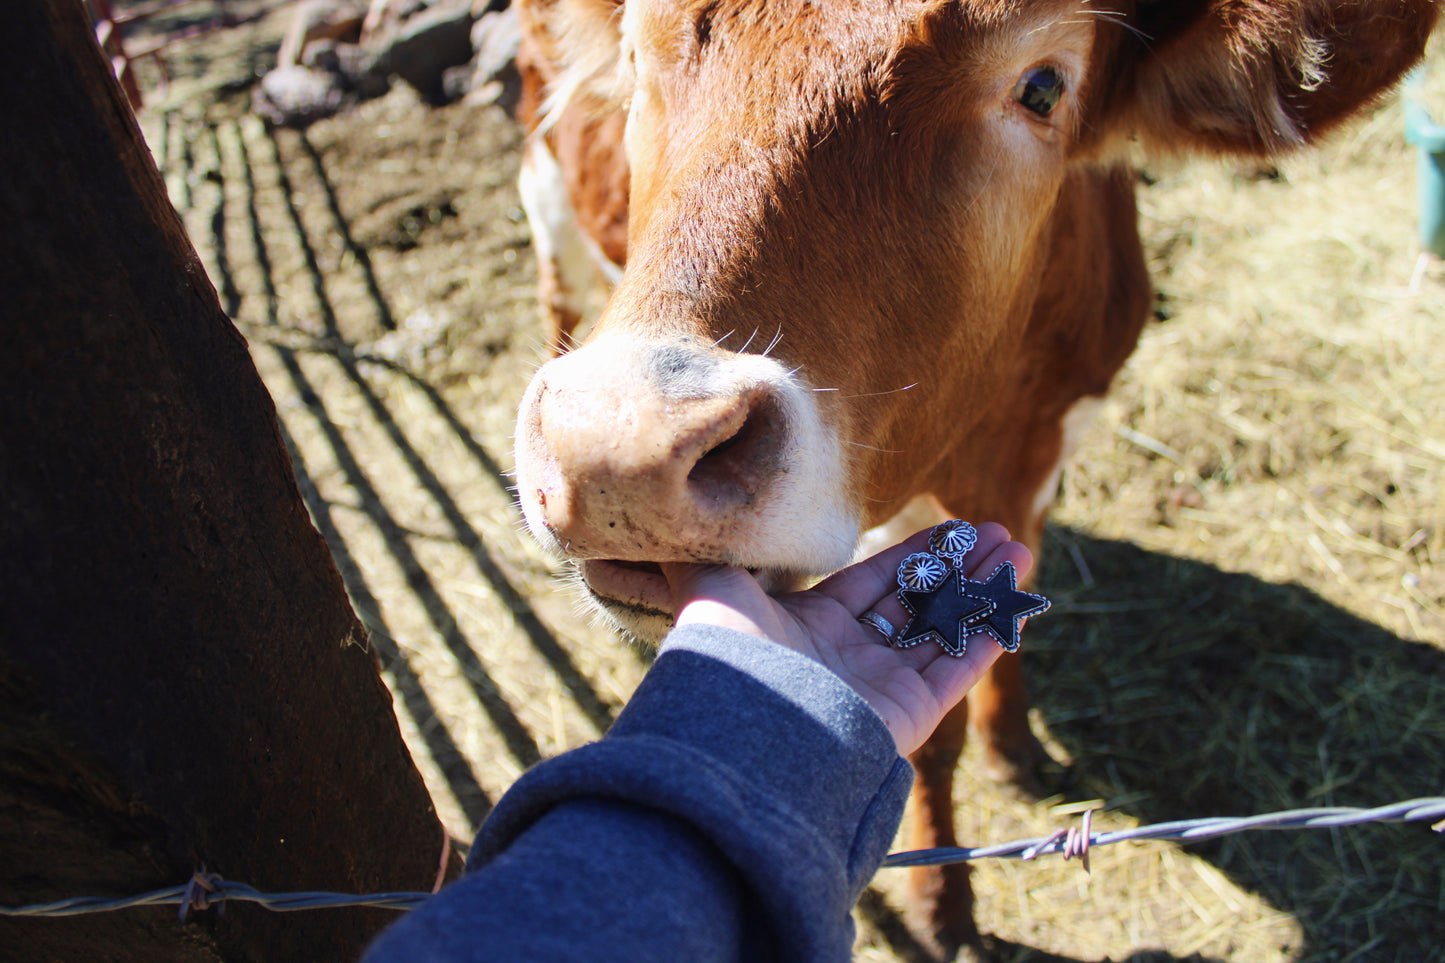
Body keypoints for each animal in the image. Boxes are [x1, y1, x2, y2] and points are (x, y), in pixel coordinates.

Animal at [508, 3, 1433, 954]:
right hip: (547, 203)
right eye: (634, 52)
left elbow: (1021, 595)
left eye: (1042, 86)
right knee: (556, 296)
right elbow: (929, 740)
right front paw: (941, 906)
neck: (996, 429)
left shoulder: (1050, 450)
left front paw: (1013, 746)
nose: (618, 447)